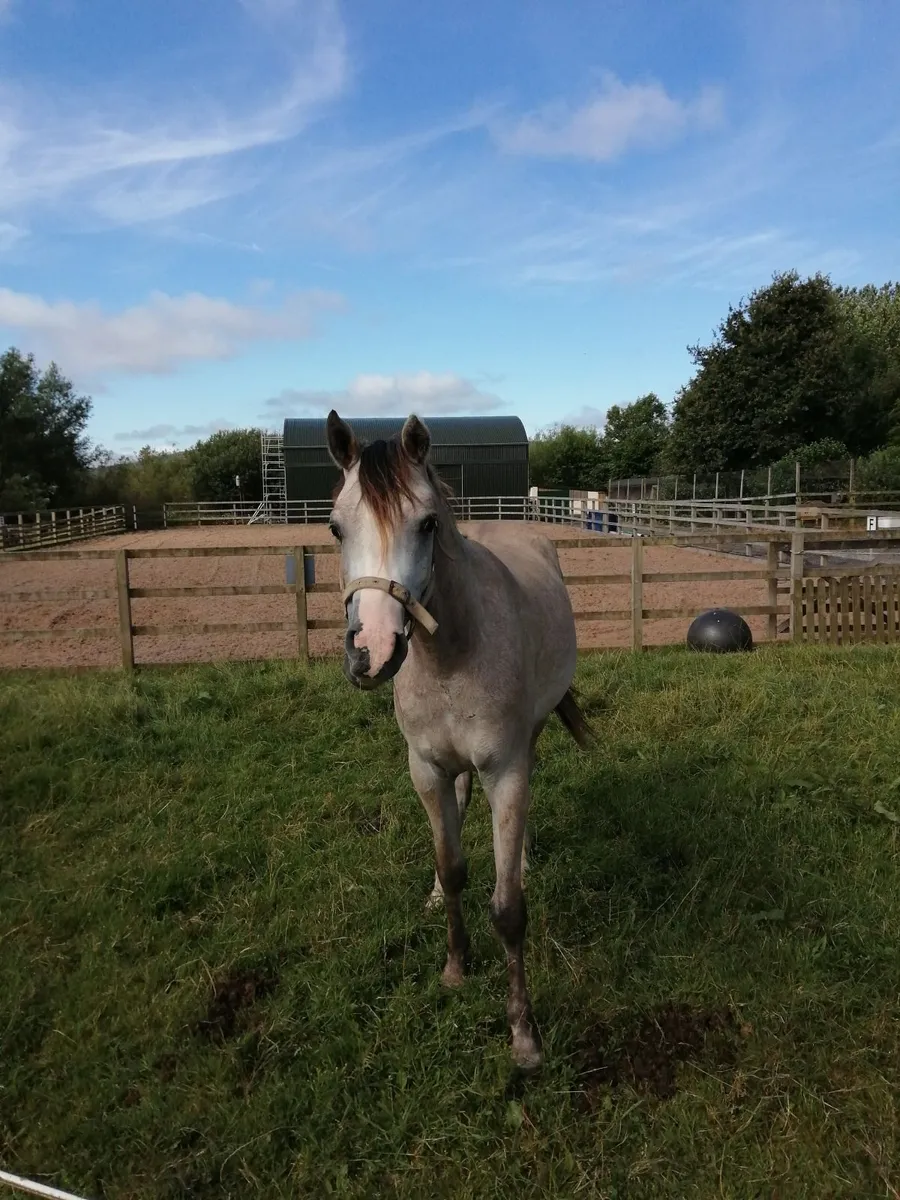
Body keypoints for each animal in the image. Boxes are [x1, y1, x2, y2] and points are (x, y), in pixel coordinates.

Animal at [325, 410, 593, 1071]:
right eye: (336, 528)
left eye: (426, 524)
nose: (371, 652)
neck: (451, 654)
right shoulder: (426, 770)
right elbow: (452, 870)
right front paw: (454, 966)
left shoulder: (507, 769)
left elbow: (509, 908)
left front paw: (524, 1035)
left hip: (531, 739)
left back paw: (523, 856)